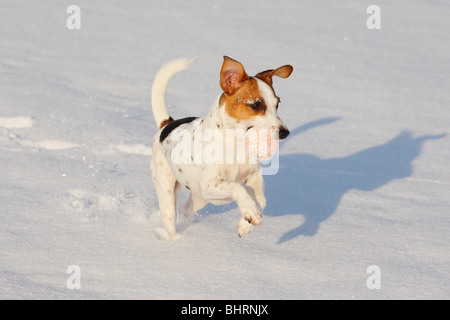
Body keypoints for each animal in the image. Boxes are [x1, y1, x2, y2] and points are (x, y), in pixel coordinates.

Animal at [149, 56, 294, 240]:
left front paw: (246, 223)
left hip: (200, 198)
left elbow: (261, 200)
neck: (235, 144)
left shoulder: (253, 178)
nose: (285, 133)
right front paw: (250, 211)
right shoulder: (209, 185)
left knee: (187, 208)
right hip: (167, 193)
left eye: (278, 104)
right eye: (256, 105)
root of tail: (167, 125)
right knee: (171, 219)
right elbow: (236, 187)